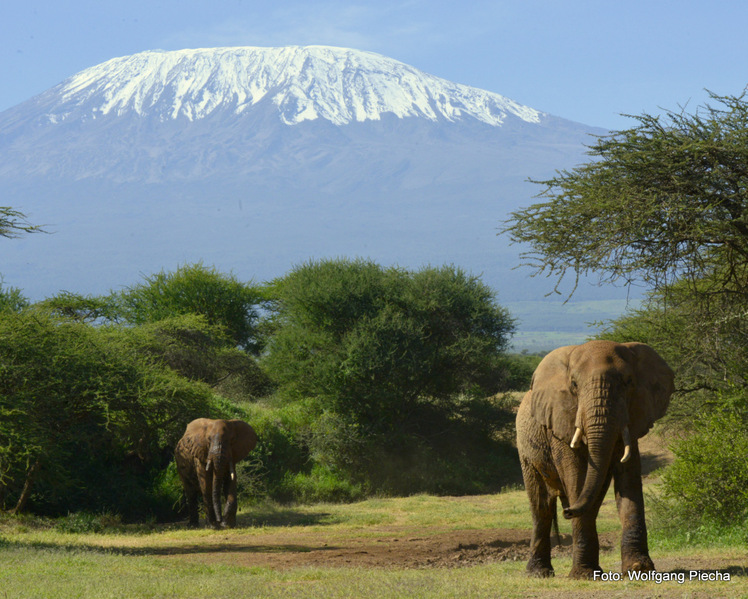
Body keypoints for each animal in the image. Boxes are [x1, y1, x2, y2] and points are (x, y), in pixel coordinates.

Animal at [516, 342, 676, 580]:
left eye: (628, 382)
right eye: (574, 384)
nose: (567, 511)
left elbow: (629, 482)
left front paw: (639, 569)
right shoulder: (561, 423)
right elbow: (576, 478)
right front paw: (584, 575)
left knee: (592, 499)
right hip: (526, 451)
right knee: (541, 506)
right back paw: (539, 573)